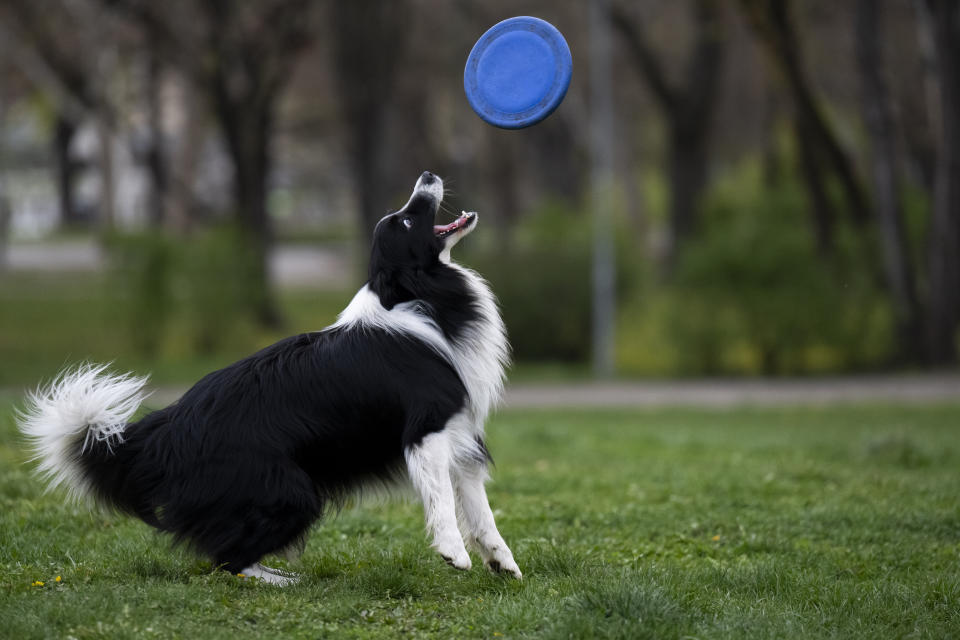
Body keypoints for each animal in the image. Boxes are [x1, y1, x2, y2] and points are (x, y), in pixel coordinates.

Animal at [18, 171, 520, 584]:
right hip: (294, 493)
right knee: (225, 562)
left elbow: (480, 510)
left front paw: (502, 563)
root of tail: (164, 429)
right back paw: (284, 581)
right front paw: (454, 554)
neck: (413, 295)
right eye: (407, 223)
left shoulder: (461, 436)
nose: (428, 174)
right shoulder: (426, 428)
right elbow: (442, 499)